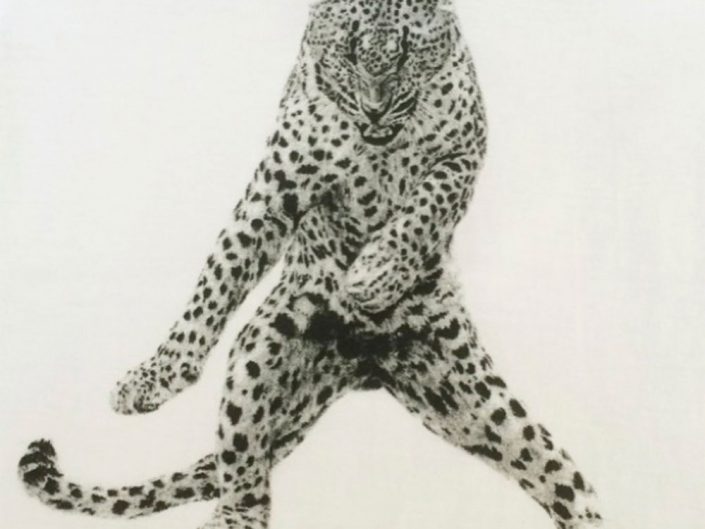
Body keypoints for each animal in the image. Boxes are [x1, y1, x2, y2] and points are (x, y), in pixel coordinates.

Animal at [18, 1, 603, 528]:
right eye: (347, 50)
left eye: (406, 51)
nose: (374, 108)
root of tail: (363, 366)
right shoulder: (274, 191)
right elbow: (219, 274)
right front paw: (158, 373)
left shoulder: (465, 154)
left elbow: (426, 203)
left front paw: (373, 273)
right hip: (257, 356)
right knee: (243, 467)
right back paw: (232, 515)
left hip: (477, 397)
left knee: (560, 476)